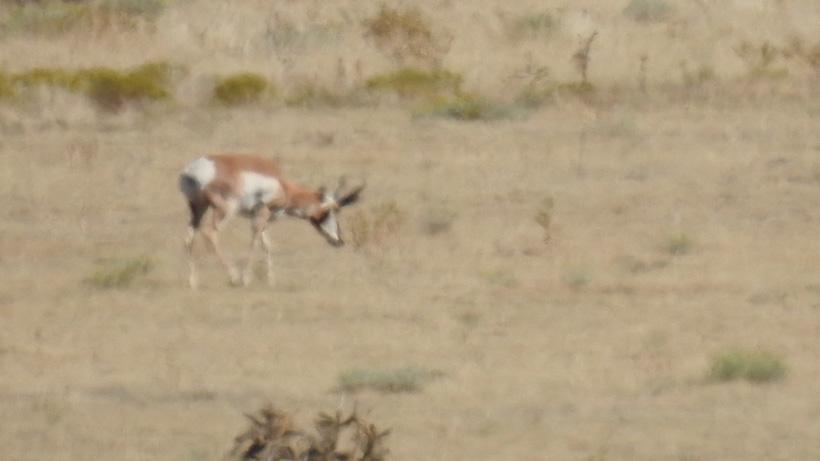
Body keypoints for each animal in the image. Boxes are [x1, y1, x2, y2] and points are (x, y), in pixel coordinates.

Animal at [178, 154, 364, 288]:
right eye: (329, 211)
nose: (339, 241)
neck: (283, 185)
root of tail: (194, 170)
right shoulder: (262, 213)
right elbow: (254, 241)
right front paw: (246, 278)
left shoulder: (262, 217)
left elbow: (266, 244)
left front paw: (271, 280)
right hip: (225, 210)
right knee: (209, 233)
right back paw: (234, 277)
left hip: (197, 209)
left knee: (188, 237)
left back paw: (192, 282)